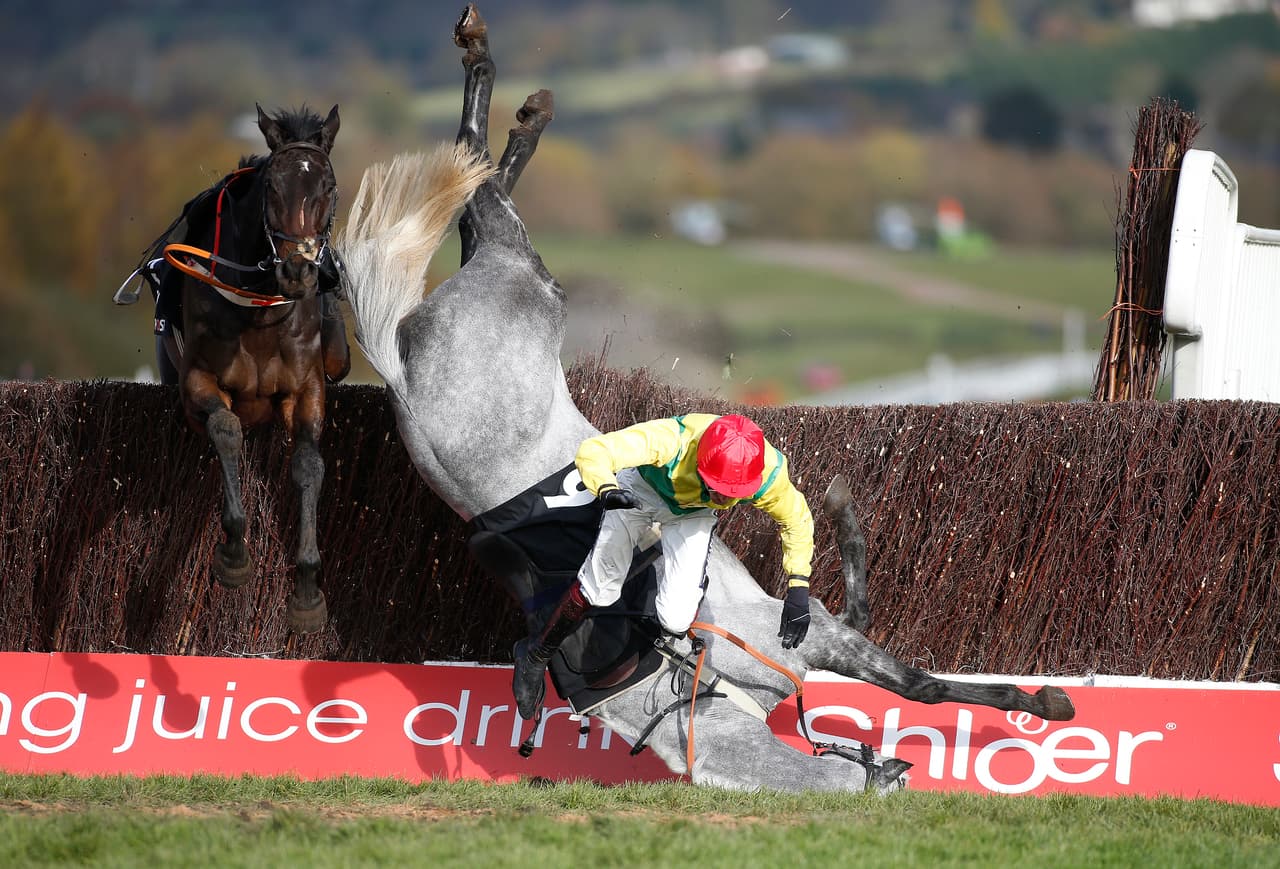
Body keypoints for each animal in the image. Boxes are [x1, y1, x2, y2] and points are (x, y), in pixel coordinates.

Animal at [157, 105, 350, 633]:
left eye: (328, 186)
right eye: (272, 188)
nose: (298, 272)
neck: (261, 313)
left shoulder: (306, 389)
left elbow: (309, 465)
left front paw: (307, 590)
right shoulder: (196, 380)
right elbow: (226, 429)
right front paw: (235, 556)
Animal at [336, 4, 1075, 793]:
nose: (893, 771)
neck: (699, 681)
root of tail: (398, 373)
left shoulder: (810, 630)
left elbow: (893, 654)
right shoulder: (816, 637)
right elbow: (921, 683)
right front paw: (1044, 700)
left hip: (516, 286)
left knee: (479, 190)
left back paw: (509, 94)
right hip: (526, 285)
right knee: (483, 193)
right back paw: (502, 85)